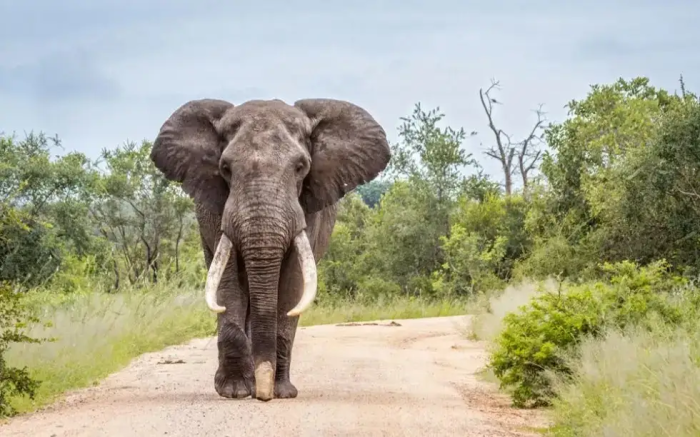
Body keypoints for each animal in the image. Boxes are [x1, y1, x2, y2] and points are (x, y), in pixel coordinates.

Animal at [149, 97, 388, 400]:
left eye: (301, 167)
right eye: (225, 168)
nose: (264, 394)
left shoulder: (307, 209)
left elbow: (292, 284)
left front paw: (281, 392)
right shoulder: (217, 210)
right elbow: (228, 282)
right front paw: (235, 391)